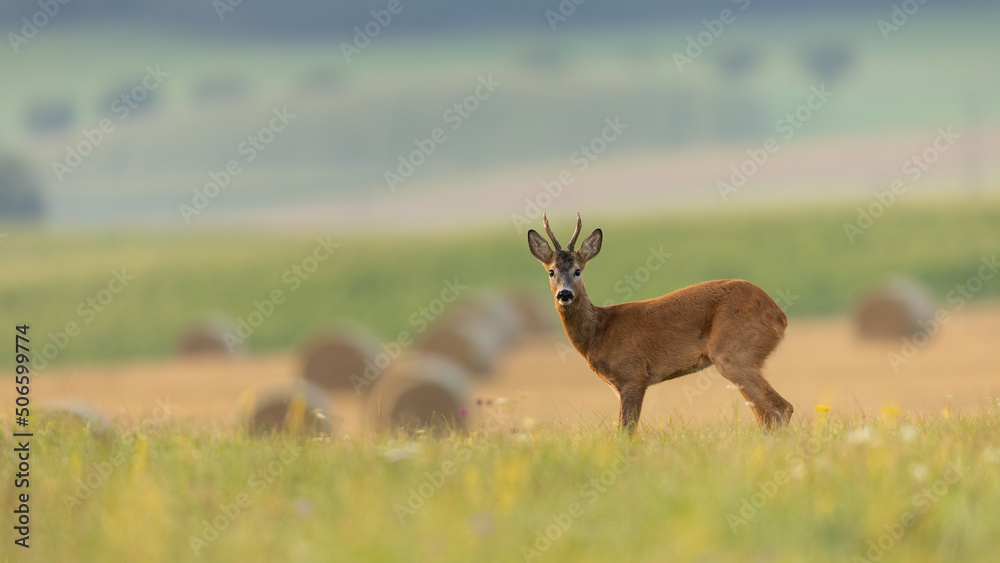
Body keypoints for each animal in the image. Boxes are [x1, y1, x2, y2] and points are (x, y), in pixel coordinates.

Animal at [527, 213, 793, 434]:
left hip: (734, 354)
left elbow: (625, 431)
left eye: (578, 270)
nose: (564, 294)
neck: (600, 331)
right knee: (766, 416)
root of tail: (780, 315)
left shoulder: (633, 376)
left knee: (781, 409)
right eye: (551, 271)